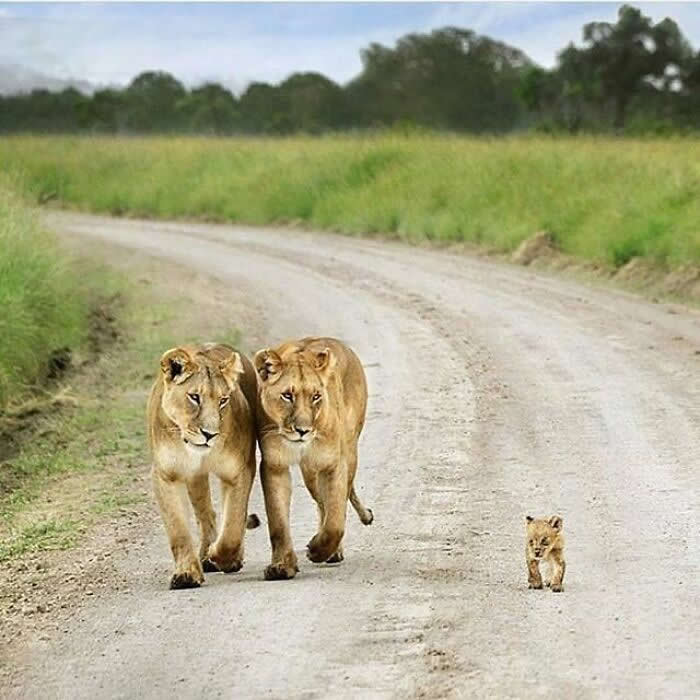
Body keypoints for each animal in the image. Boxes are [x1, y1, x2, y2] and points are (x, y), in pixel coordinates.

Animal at [147, 343, 260, 590]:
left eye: (223, 400)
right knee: (206, 513)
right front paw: (186, 574)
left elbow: (233, 525)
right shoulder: (166, 475)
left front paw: (222, 557)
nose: (210, 434)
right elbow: (178, 530)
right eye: (194, 397)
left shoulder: (239, 470)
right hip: (195, 478)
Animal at [254, 337, 373, 580]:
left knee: (337, 501)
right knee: (321, 503)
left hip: (349, 452)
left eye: (316, 396)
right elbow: (278, 521)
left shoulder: (334, 463)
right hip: (310, 470)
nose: (303, 430)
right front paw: (282, 566)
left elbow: (335, 520)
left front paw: (317, 551)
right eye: (287, 395)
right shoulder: (274, 465)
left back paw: (333, 551)